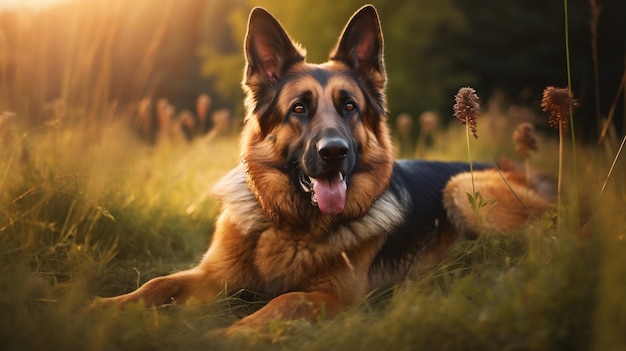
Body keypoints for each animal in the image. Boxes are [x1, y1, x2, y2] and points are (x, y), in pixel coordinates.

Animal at [100, 5, 552, 332]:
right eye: (299, 109)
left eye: (349, 106)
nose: (334, 152)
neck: (291, 224)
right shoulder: (212, 276)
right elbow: (157, 283)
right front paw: (102, 306)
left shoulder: (334, 298)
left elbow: (283, 301)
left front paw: (227, 335)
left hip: (462, 186)